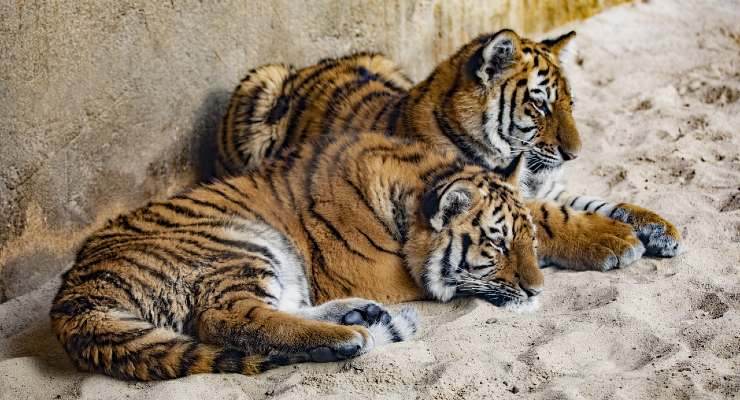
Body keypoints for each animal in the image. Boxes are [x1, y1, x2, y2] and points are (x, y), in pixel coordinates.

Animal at [51, 131, 543, 381]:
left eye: (529, 240)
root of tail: (72, 301)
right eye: (497, 244)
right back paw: (350, 335)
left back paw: (360, 316)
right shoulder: (381, 274)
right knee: (227, 317)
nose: (538, 291)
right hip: (237, 246)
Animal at [217, 29, 681, 271]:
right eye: (539, 104)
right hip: (259, 83)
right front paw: (614, 241)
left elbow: (593, 202)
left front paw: (658, 227)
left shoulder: (540, 186)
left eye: (570, 104)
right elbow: (551, 219)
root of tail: (308, 67)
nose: (575, 154)